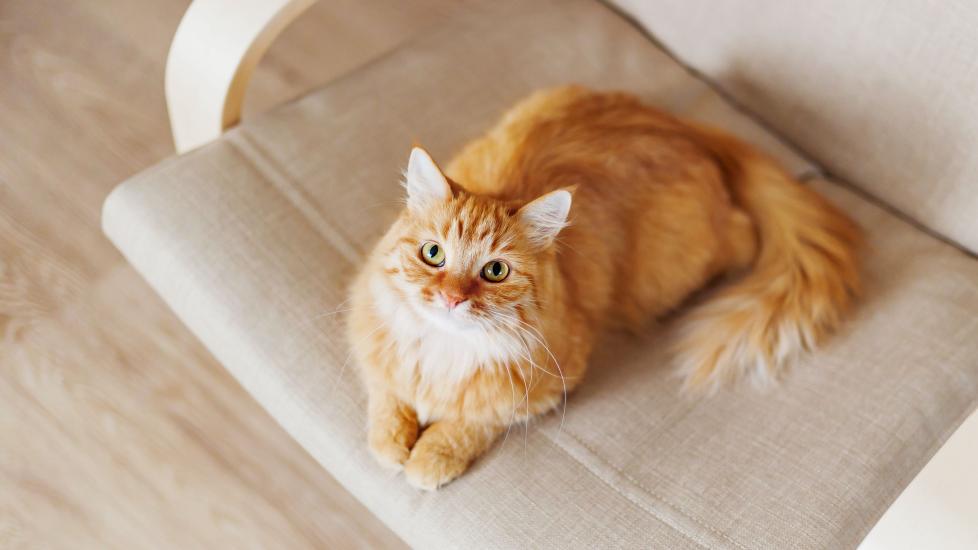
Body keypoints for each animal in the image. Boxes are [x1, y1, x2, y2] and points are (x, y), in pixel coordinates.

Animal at [346, 86, 856, 492]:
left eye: (494, 271)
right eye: (433, 254)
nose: (453, 298)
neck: (443, 352)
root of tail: (684, 128)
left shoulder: (547, 385)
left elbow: (473, 422)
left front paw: (430, 456)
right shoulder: (371, 333)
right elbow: (386, 396)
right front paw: (391, 443)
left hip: (677, 268)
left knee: (745, 234)